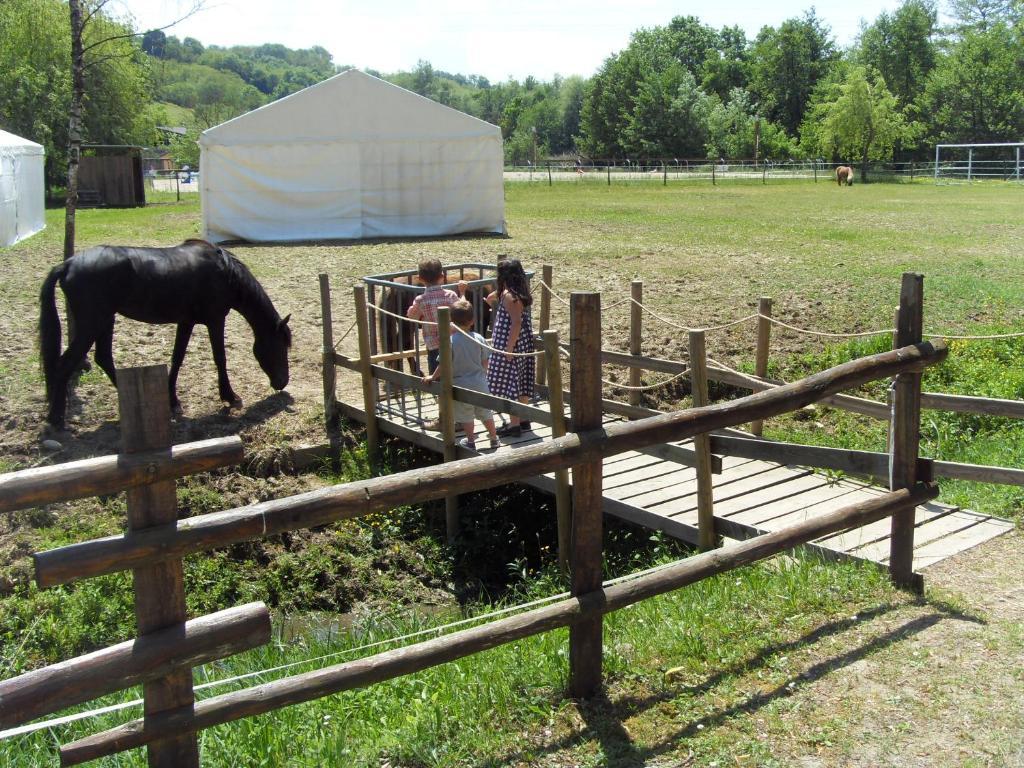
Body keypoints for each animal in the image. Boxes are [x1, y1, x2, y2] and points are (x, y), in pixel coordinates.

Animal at [39, 240, 288, 428]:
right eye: (281, 346)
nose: (283, 382)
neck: (224, 273)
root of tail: (68, 264)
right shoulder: (215, 320)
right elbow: (220, 358)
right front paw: (230, 396)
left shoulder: (186, 322)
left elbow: (177, 358)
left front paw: (172, 401)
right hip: (93, 323)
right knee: (65, 364)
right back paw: (56, 418)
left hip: (105, 320)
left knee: (103, 358)